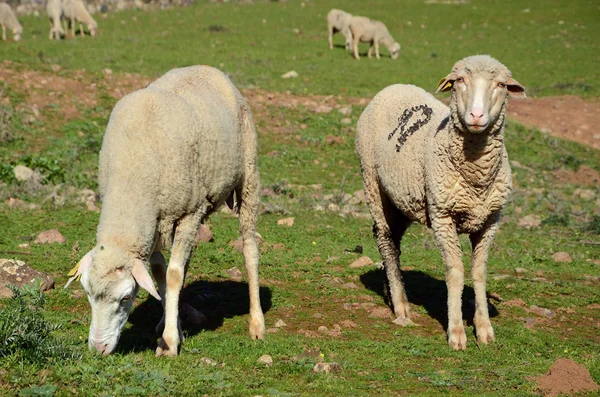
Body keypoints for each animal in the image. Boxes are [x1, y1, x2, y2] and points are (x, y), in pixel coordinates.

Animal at [63, 65, 268, 356]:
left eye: (126, 297)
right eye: (88, 295)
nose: (98, 348)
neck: (131, 179)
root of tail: (207, 68)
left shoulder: (189, 213)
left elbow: (172, 276)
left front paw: (169, 342)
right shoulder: (154, 220)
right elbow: (161, 272)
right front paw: (171, 326)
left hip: (247, 177)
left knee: (249, 249)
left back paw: (257, 324)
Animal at [356, 54, 524, 348]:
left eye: (501, 85)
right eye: (459, 81)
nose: (476, 115)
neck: (476, 176)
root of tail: (392, 87)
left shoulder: (491, 219)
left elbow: (479, 273)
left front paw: (484, 329)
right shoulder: (442, 215)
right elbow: (455, 271)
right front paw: (456, 332)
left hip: (402, 199)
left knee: (393, 242)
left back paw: (391, 290)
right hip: (372, 183)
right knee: (385, 239)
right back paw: (401, 304)